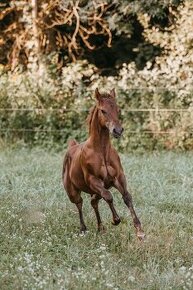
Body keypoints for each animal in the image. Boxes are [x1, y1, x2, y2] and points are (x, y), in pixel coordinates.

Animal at [63, 88, 145, 240]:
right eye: (103, 110)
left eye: (118, 110)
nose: (117, 130)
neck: (101, 151)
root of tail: (72, 147)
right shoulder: (93, 180)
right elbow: (109, 196)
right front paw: (116, 220)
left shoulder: (118, 178)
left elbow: (127, 197)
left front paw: (139, 230)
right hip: (73, 192)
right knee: (80, 204)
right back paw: (83, 229)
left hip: (95, 192)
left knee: (94, 202)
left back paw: (100, 228)